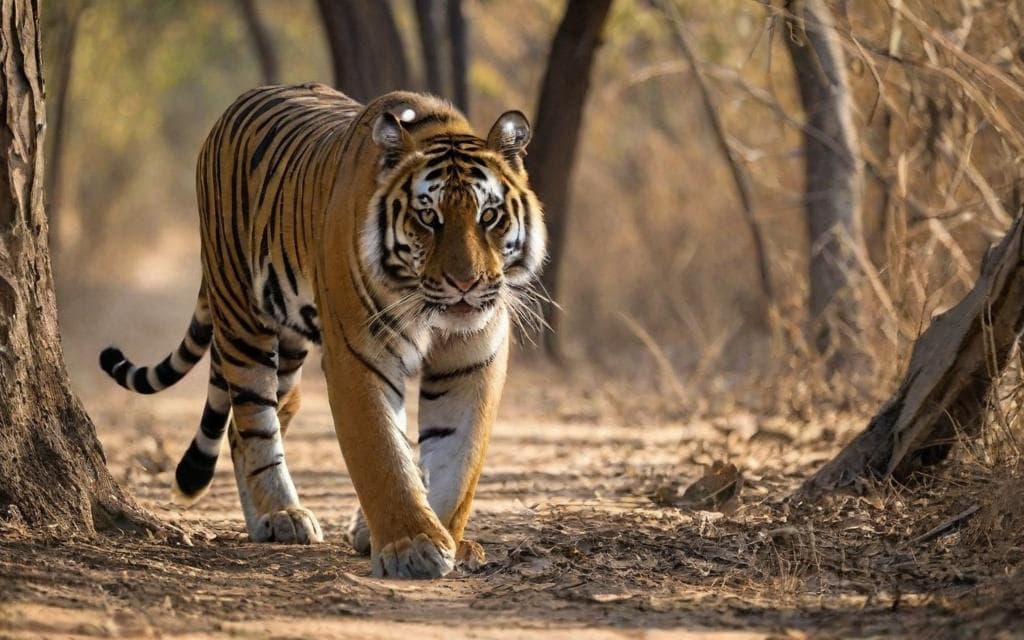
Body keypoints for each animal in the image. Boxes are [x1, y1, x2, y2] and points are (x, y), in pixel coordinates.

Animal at [99, 83, 546, 579]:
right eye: (428, 218)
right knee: (254, 422)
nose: (466, 284)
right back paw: (281, 515)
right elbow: (380, 452)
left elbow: (458, 461)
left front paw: (445, 536)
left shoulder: (471, 363)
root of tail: (236, 105)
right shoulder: (359, 356)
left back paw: (272, 519)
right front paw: (411, 546)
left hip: (289, 347)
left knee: (243, 426)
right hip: (242, 318)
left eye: (489, 216)